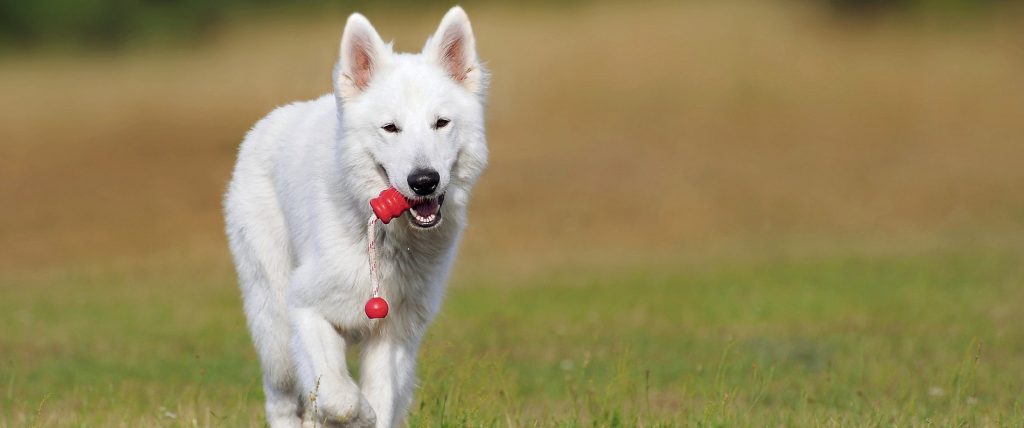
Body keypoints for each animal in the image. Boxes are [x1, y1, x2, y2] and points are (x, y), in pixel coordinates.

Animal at [225, 7, 487, 427]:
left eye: (441, 123)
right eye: (390, 128)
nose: (424, 181)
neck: (383, 238)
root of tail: (266, 124)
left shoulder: (393, 335)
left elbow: (377, 399)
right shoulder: (306, 309)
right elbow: (342, 398)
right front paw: (359, 413)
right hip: (276, 331)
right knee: (282, 399)